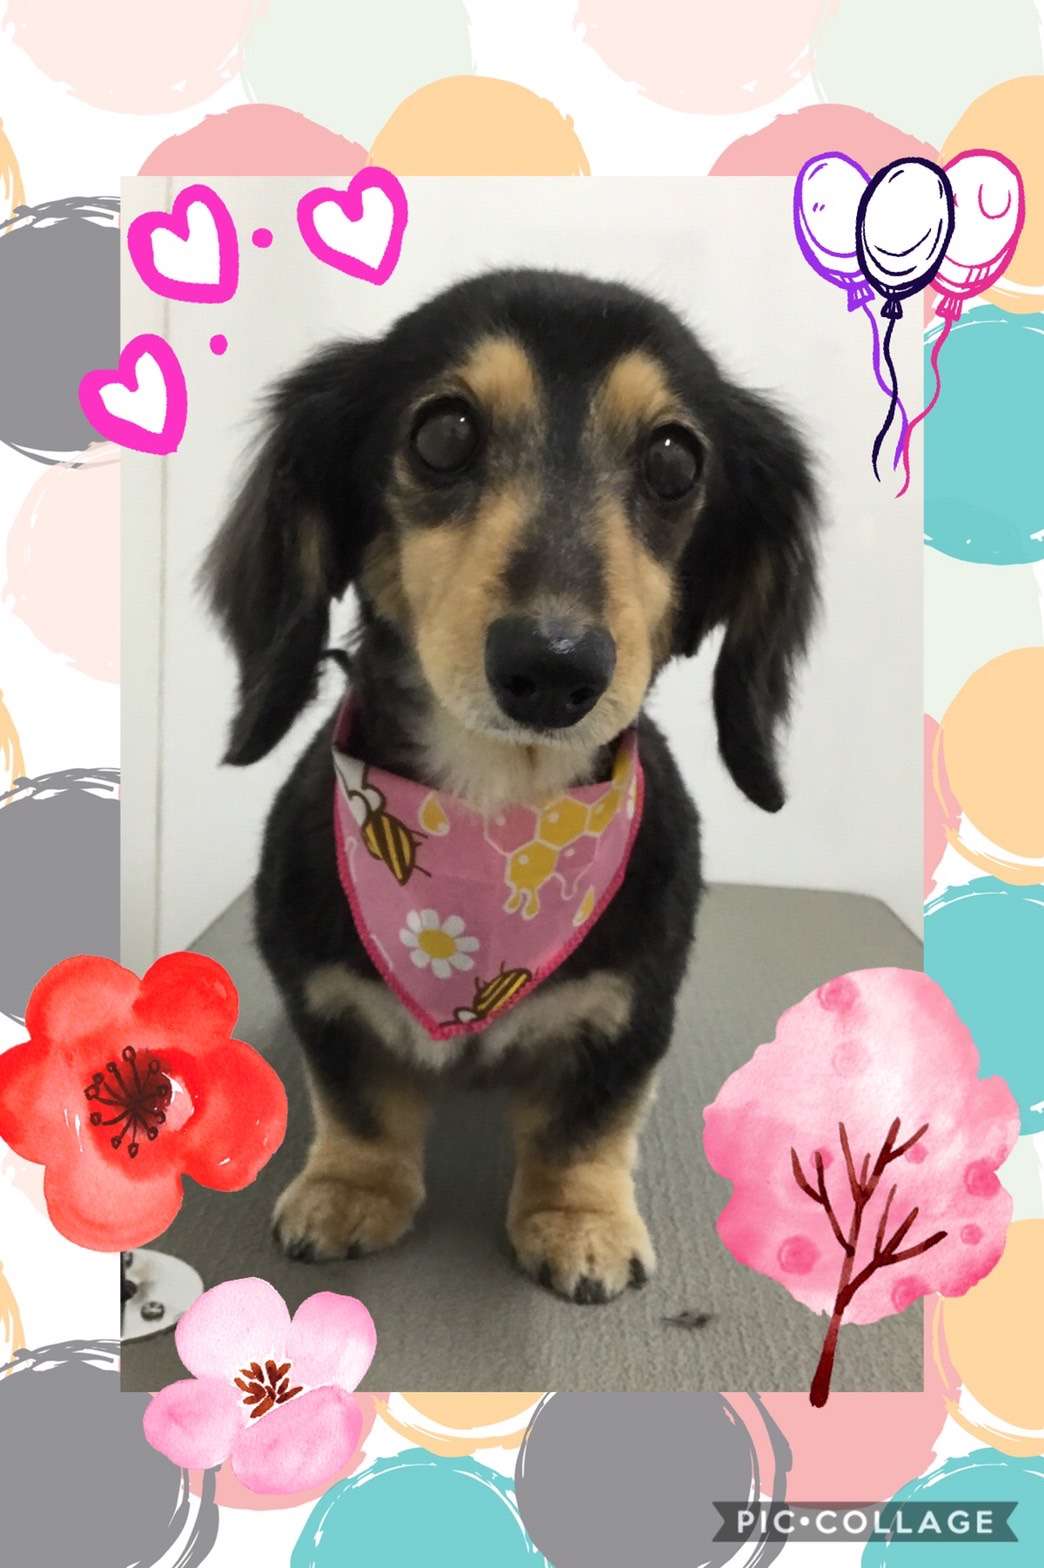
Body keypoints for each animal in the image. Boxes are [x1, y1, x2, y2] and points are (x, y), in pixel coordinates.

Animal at [203, 268, 819, 1304]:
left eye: (674, 461)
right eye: (443, 434)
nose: (553, 666)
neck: (494, 827)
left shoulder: (630, 1012)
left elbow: (587, 1123)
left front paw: (578, 1222)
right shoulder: (320, 989)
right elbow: (357, 1100)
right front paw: (349, 1189)